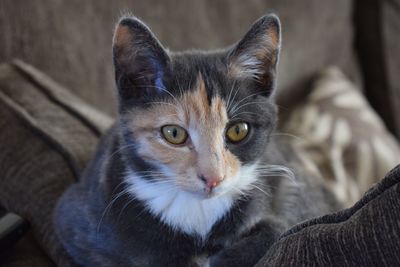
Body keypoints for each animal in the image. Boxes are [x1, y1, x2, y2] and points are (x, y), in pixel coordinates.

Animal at [54, 14, 340, 267]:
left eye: (239, 130)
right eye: (174, 133)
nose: (213, 178)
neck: (196, 213)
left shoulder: (288, 197)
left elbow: (281, 228)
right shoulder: (75, 222)